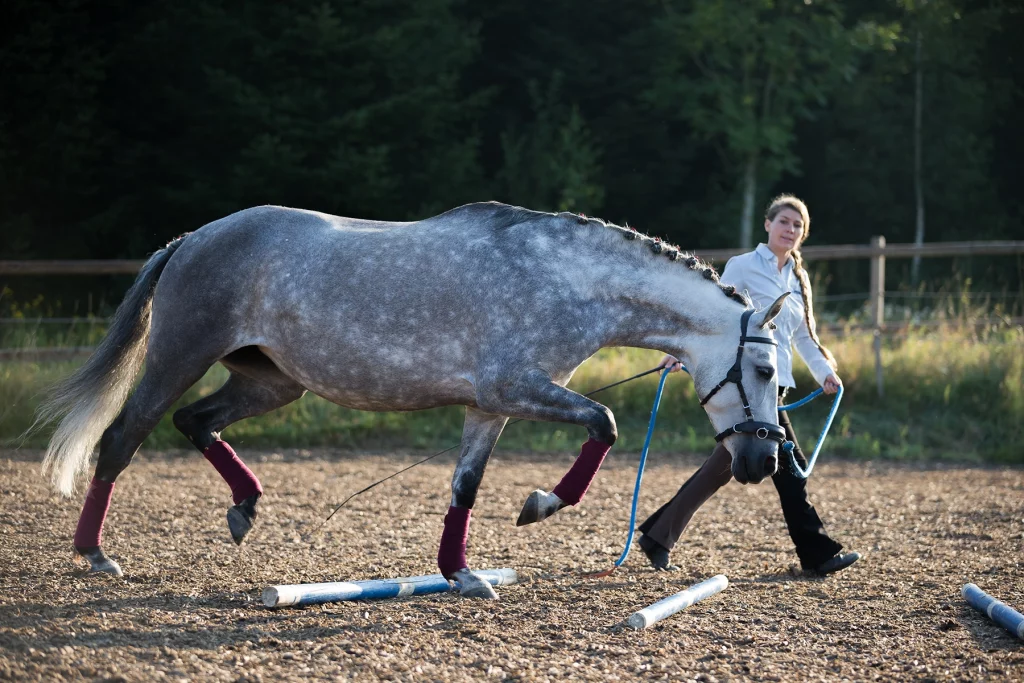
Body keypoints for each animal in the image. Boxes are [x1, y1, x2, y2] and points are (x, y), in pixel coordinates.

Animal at [35, 201, 788, 599]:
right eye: (762, 368)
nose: (761, 463)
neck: (568, 279)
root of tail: (192, 238)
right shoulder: (515, 388)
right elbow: (601, 425)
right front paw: (540, 504)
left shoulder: (490, 405)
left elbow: (465, 486)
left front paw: (461, 573)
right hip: (178, 356)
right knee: (122, 438)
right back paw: (95, 553)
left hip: (273, 380)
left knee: (196, 422)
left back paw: (244, 507)